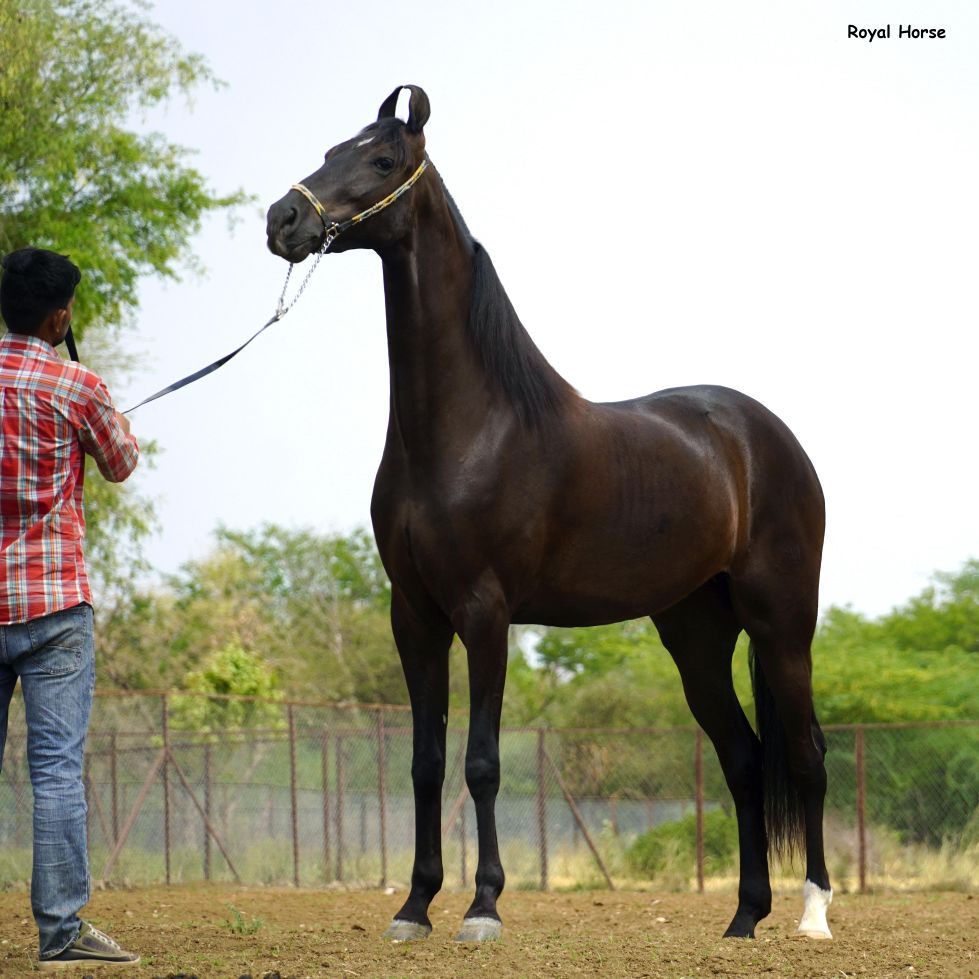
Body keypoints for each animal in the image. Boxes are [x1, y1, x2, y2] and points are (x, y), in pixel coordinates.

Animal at [265, 85, 833, 944]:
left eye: (382, 159)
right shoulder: (415, 614)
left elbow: (480, 761)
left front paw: (482, 906)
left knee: (803, 755)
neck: (470, 425)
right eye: (333, 149)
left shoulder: (485, 611)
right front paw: (413, 906)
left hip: (781, 624)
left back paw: (812, 915)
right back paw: (742, 917)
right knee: (741, 758)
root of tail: (767, 437)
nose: (283, 219)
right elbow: (424, 762)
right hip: (696, 634)